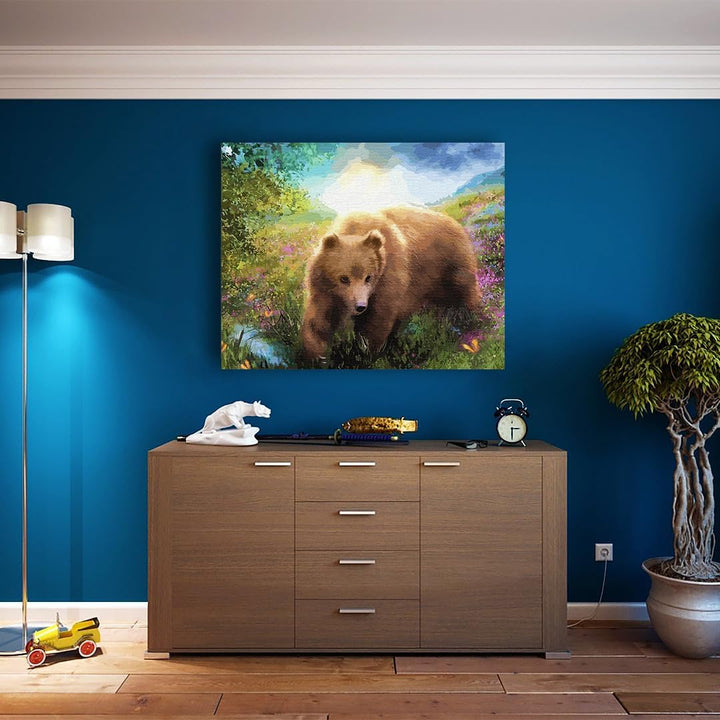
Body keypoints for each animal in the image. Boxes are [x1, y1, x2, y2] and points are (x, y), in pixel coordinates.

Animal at [300, 205, 483, 363]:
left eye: (368, 277)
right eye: (344, 278)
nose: (360, 306)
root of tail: (455, 223)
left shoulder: (388, 276)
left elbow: (378, 317)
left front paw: (364, 353)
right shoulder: (325, 288)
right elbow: (319, 318)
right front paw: (316, 355)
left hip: (451, 265)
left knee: (464, 294)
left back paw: (469, 322)